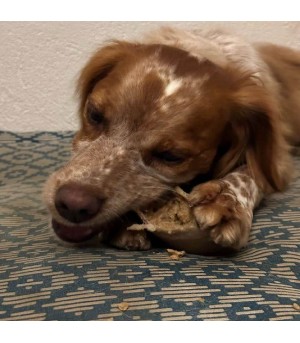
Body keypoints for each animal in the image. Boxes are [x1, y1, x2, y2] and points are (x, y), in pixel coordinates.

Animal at [43, 26, 300, 253]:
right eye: (94, 115)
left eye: (171, 157)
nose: (73, 205)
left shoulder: (279, 163)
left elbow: (251, 173)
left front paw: (226, 201)